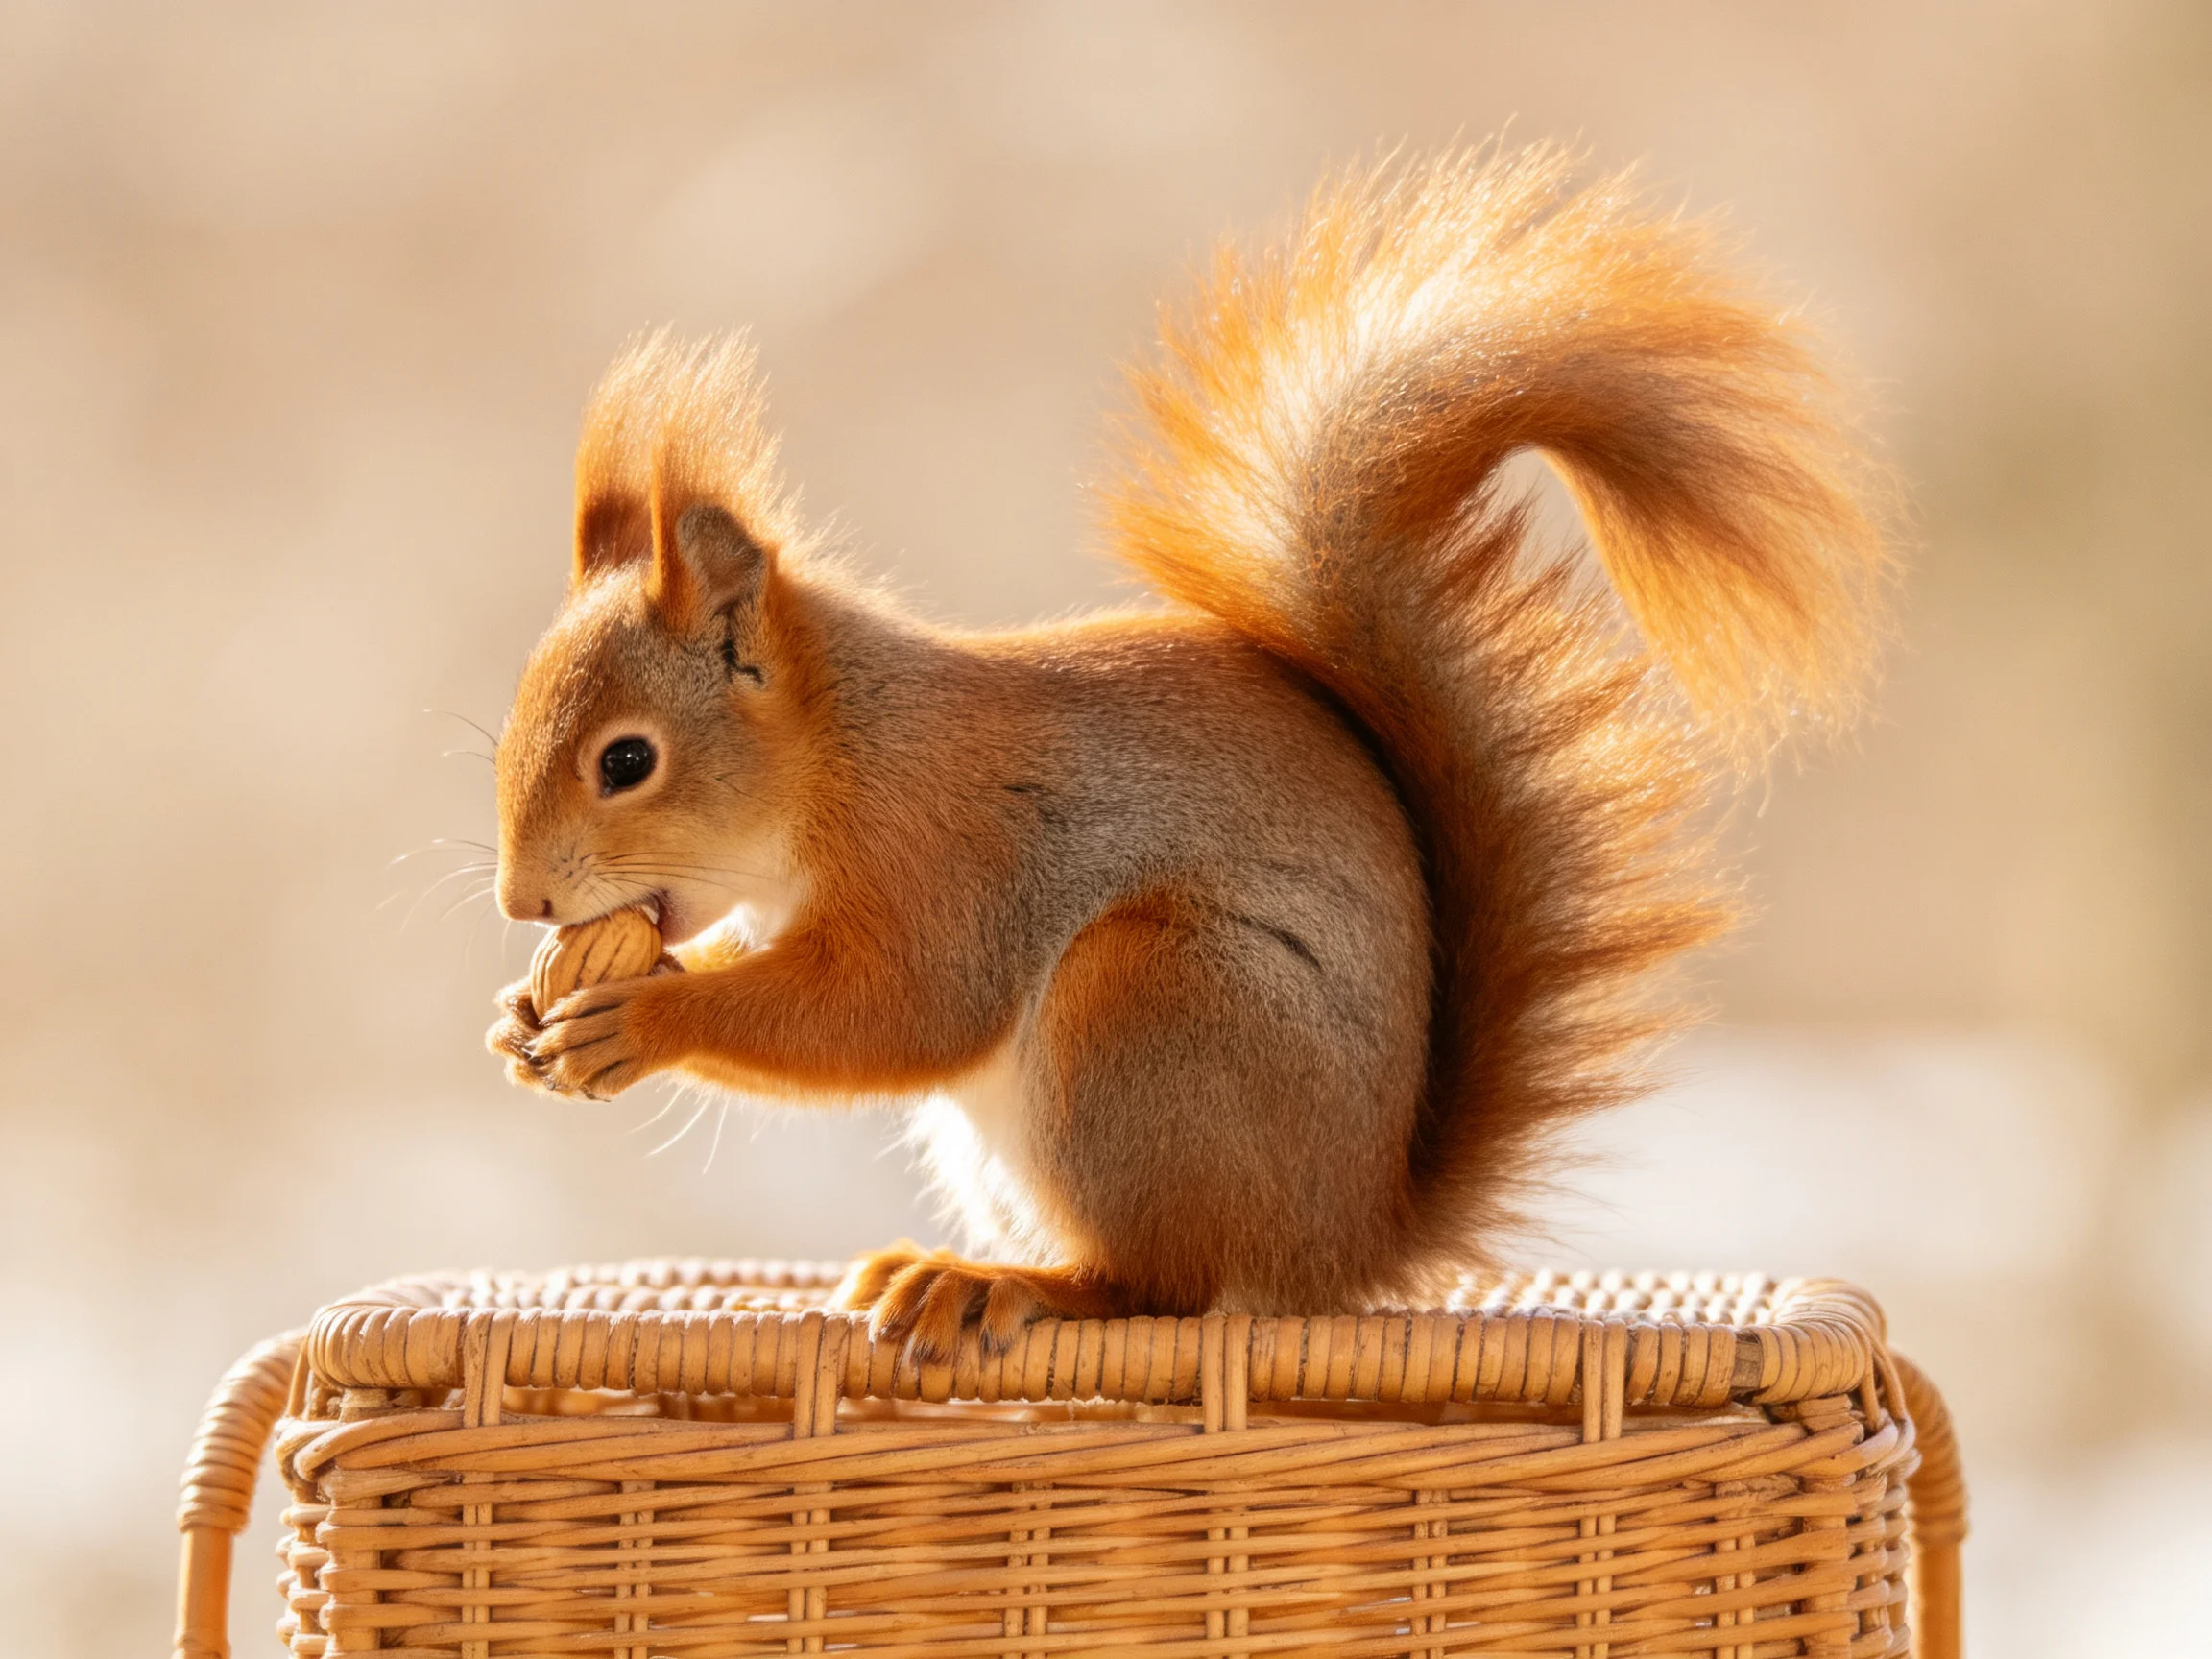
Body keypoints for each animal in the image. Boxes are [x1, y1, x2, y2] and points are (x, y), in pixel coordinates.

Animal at [487, 146, 1886, 1361]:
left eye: (626, 762)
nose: (523, 903)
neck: (842, 750)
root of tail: (1349, 1246)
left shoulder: (949, 848)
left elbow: (898, 1009)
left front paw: (643, 1018)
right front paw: (527, 1018)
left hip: (1152, 1003)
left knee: (1160, 1285)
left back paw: (1002, 1284)